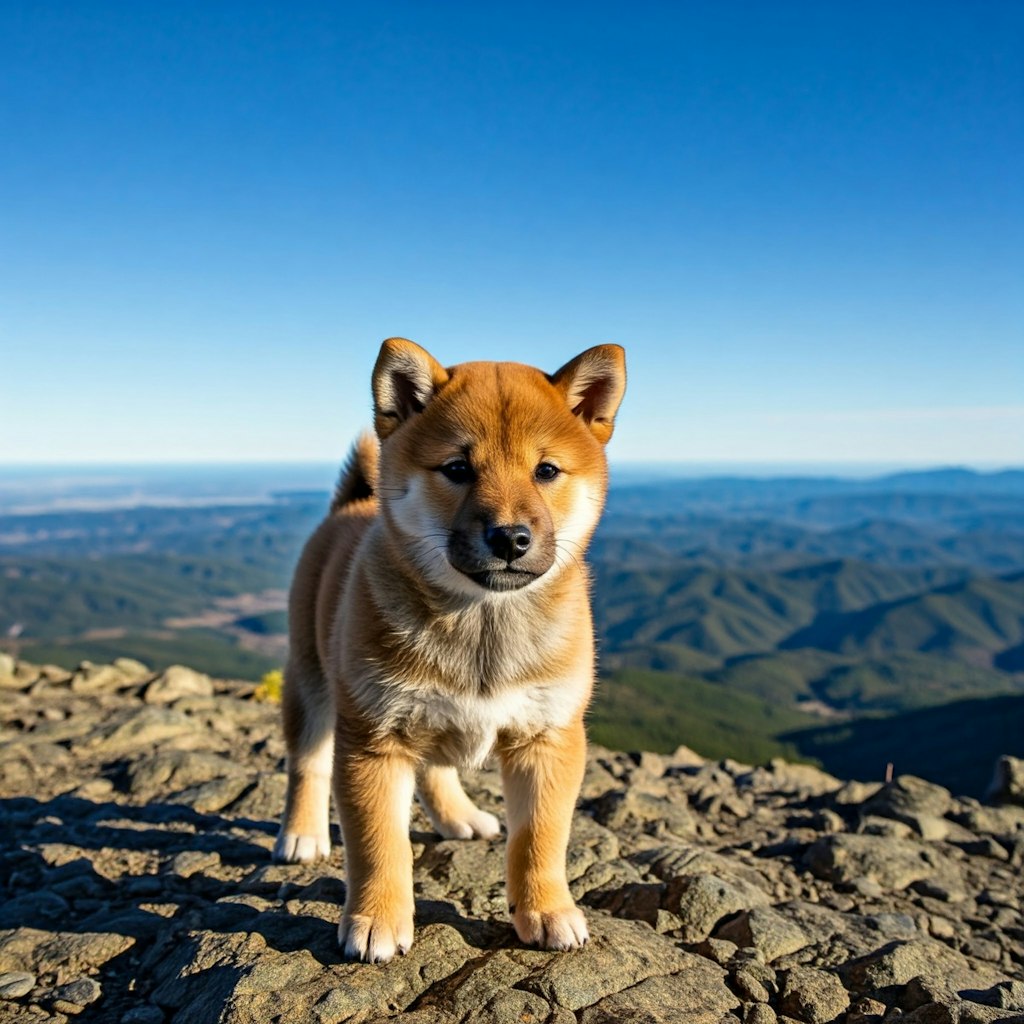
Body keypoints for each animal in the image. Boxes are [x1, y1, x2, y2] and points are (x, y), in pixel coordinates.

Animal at [272, 337, 622, 958]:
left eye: (546, 470)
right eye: (458, 469)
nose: (510, 538)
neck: (482, 622)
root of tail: (349, 507)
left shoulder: (549, 738)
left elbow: (541, 837)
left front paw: (547, 909)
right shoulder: (373, 741)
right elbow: (378, 842)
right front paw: (377, 919)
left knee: (434, 766)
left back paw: (460, 815)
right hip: (310, 680)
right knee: (306, 763)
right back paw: (302, 832)